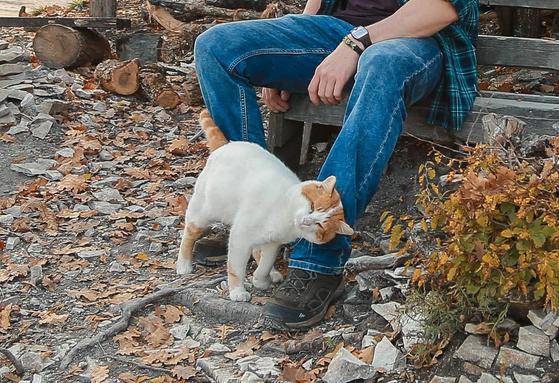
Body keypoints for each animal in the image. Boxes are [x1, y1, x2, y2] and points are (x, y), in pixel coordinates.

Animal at [176, 111, 354, 304]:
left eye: (320, 225)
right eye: (312, 206)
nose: (306, 220)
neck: (285, 217)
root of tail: (227, 144)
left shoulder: (273, 243)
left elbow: (265, 263)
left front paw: (260, 279)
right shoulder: (240, 238)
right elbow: (236, 268)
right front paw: (237, 291)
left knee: (256, 251)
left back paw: (273, 273)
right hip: (203, 213)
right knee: (189, 234)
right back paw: (183, 264)